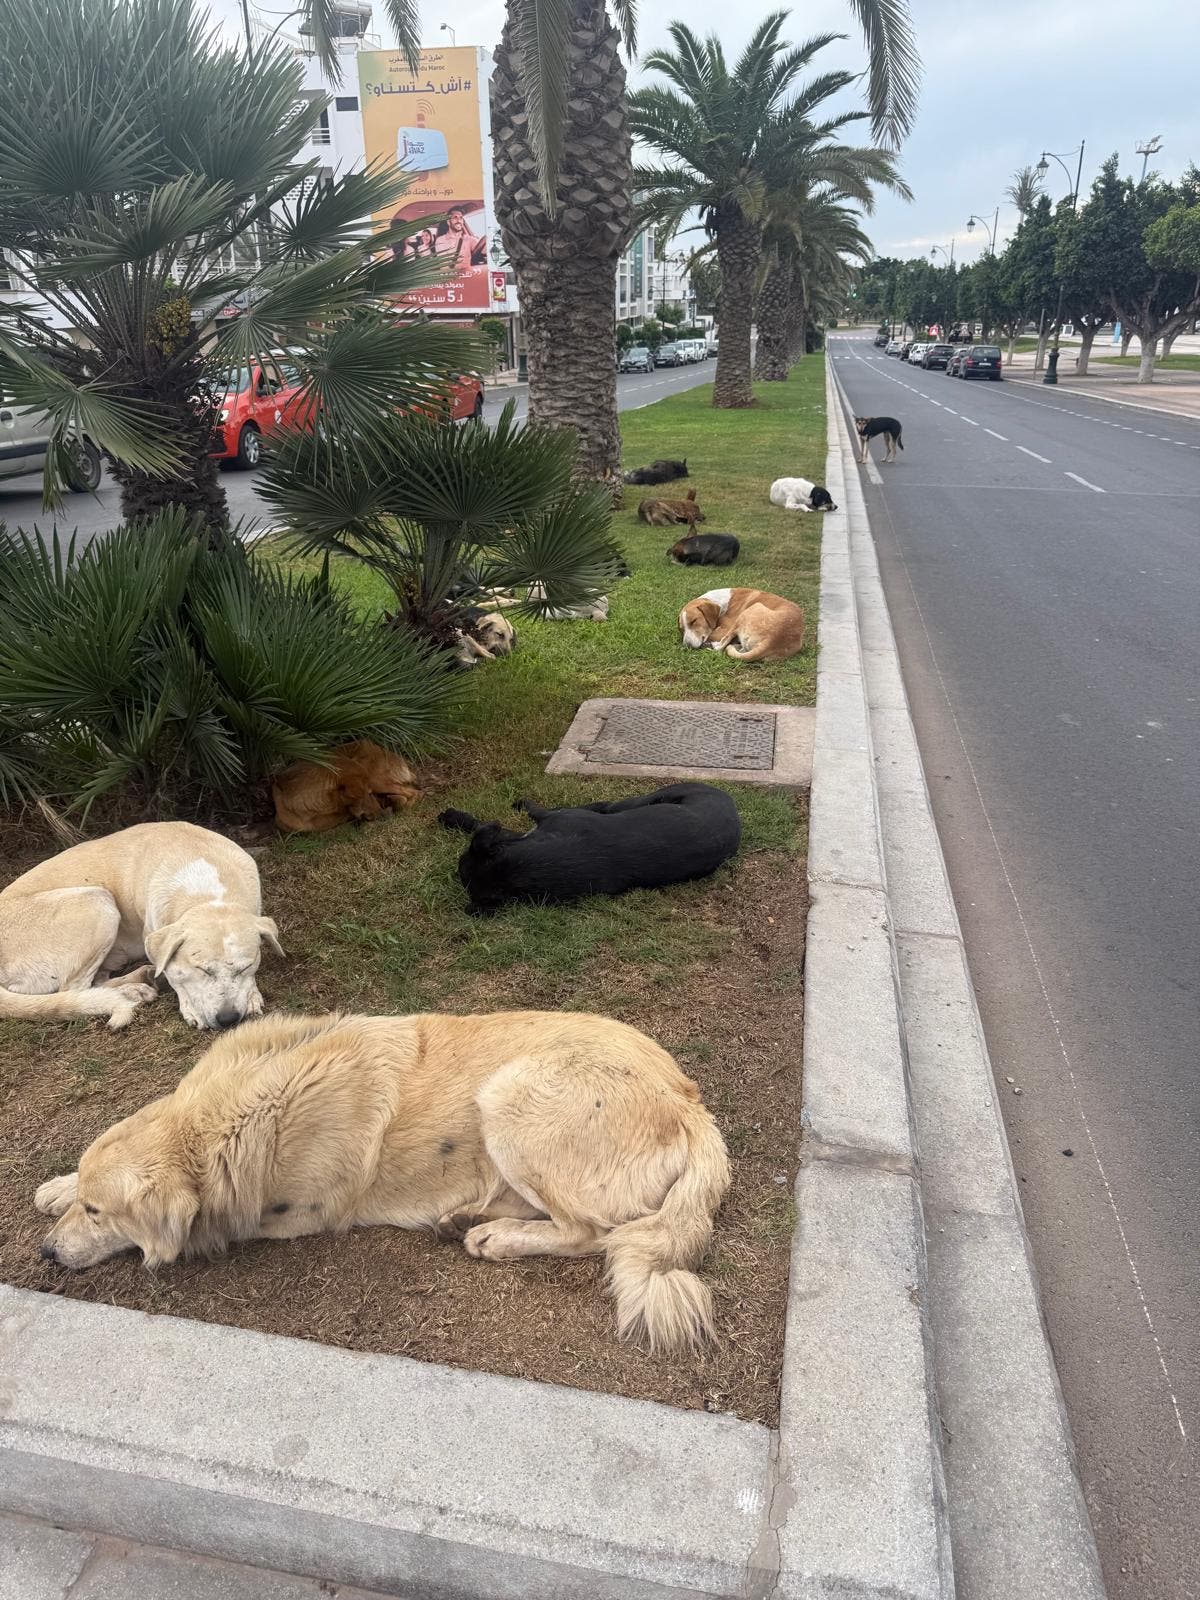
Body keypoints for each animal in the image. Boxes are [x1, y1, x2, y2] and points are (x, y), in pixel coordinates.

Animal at [0, 819, 283, 1030]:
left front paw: (252, 996)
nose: (228, 1020)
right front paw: (190, 1007)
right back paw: (131, 991)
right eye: (202, 969)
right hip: (98, 902)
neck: (205, 891)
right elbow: (175, 977)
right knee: (74, 988)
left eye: (245, 967)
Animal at [35, 1011, 732, 1350]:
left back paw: (495, 1237)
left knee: (592, 1232)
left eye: (100, 1214)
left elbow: (220, 1223)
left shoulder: (293, 1213)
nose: (43, 1252)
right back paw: (470, 1217)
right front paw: (56, 1185)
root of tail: (693, 1105)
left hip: (509, 1094)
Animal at [441, 784, 742, 915]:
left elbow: (527, 811)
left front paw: (454, 817)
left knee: (607, 804)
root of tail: (732, 809)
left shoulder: (553, 818)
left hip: (648, 797)